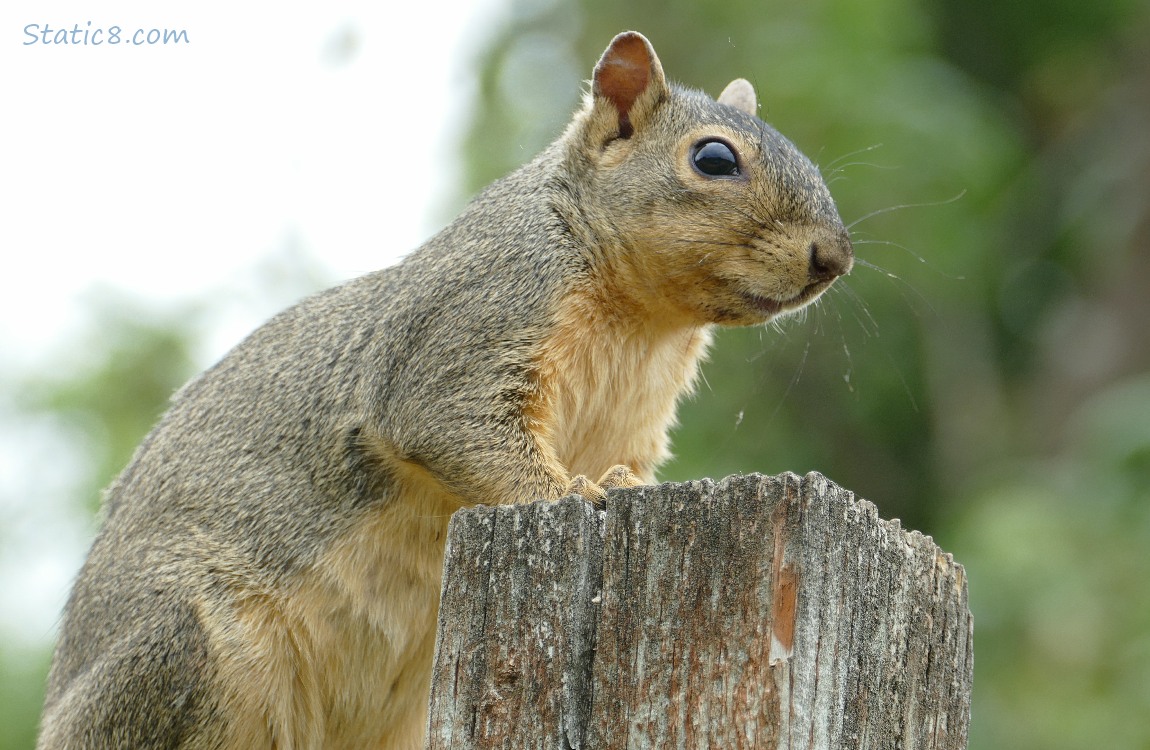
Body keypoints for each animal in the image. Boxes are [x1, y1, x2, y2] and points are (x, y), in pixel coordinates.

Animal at [38, 30, 852, 749]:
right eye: (714, 158)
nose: (834, 258)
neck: (644, 324)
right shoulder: (477, 315)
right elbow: (452, 424)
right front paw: (567, 493)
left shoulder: (637, 418)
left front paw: (619, 484)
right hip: (184, 650)